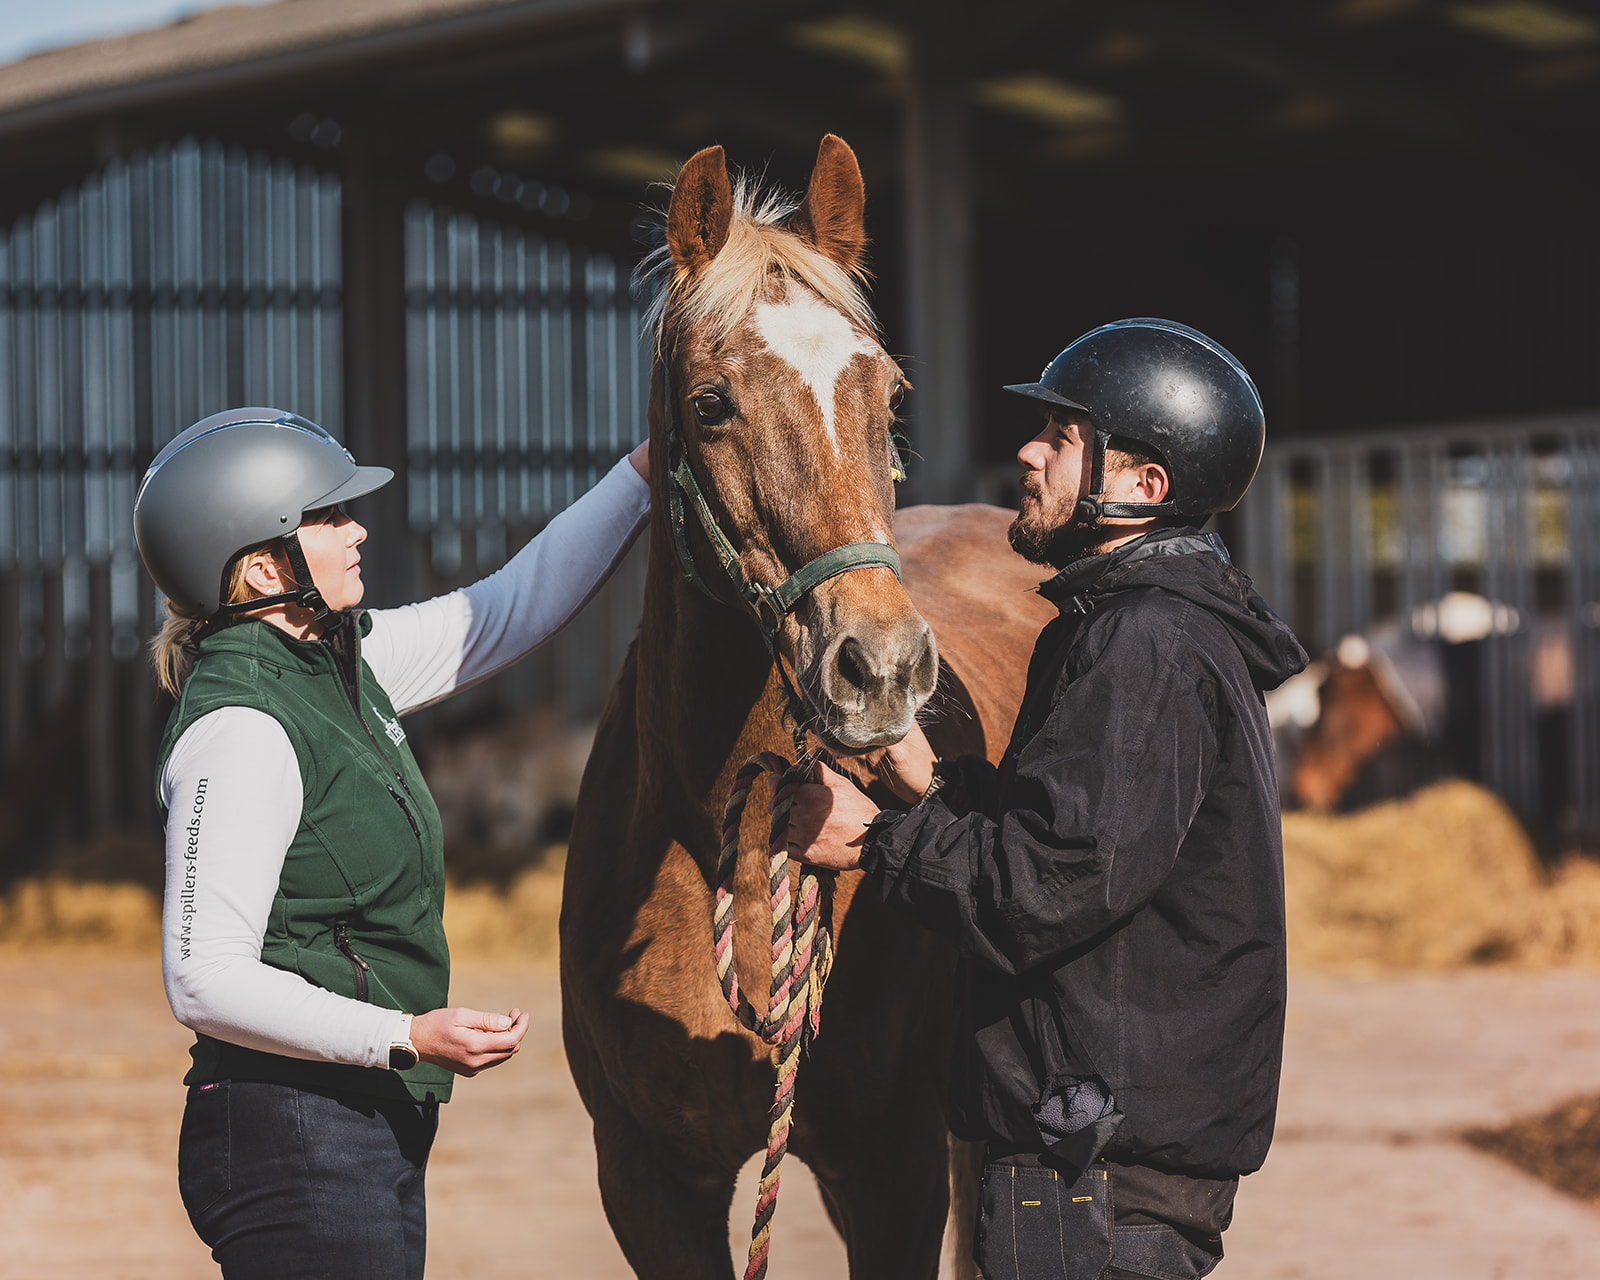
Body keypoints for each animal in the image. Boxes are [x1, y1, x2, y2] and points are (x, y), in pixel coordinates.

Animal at [559, 135, 1054, 1278]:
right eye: (709, 402)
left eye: (892, 394)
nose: (881, 668)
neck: (722, 847)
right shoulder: (648, 1182)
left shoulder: (889, 1169)